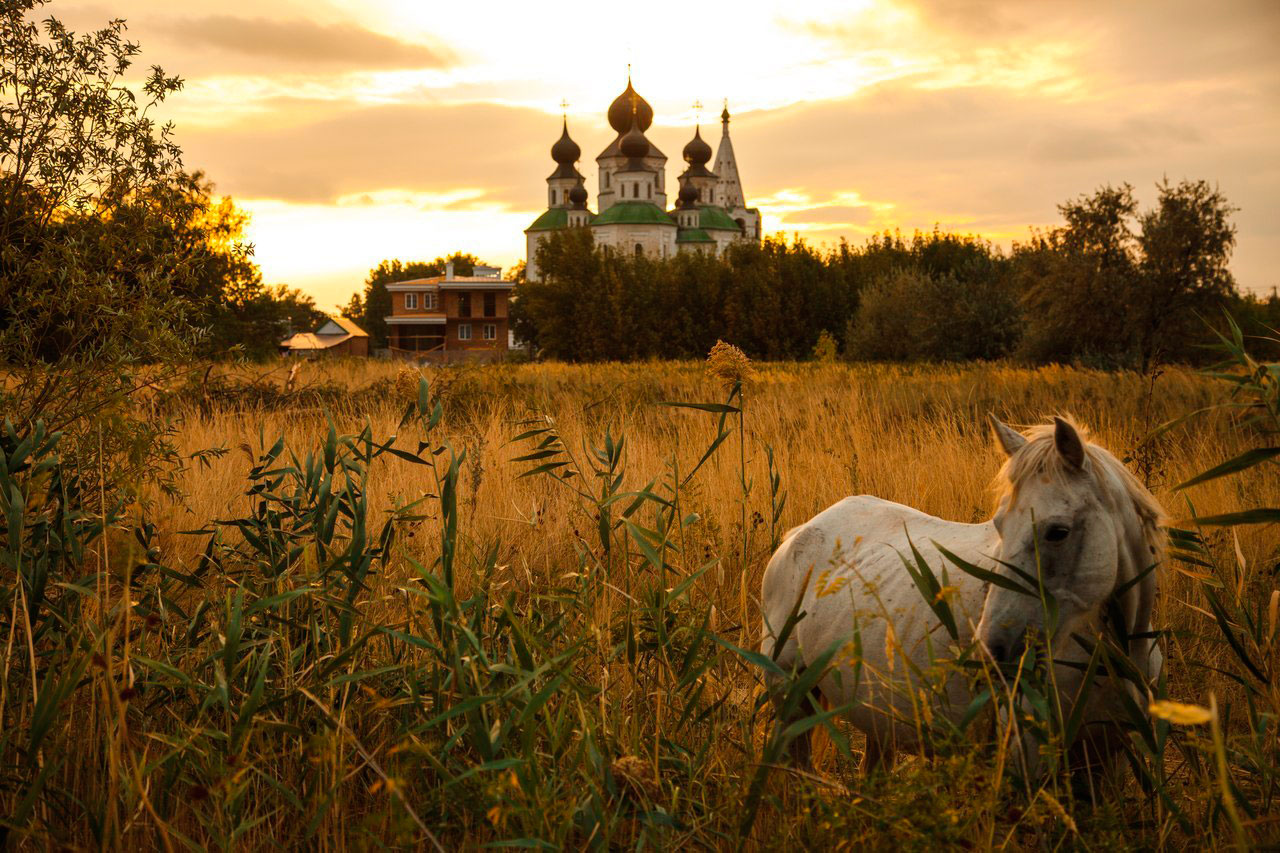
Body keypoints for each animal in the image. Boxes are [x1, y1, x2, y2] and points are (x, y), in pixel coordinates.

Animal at [757, 412, 1172, 768]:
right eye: (999, 525)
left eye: (1057, 531)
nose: (991, 654)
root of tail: (799, 532)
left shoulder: (1112, 758)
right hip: (790, 695)